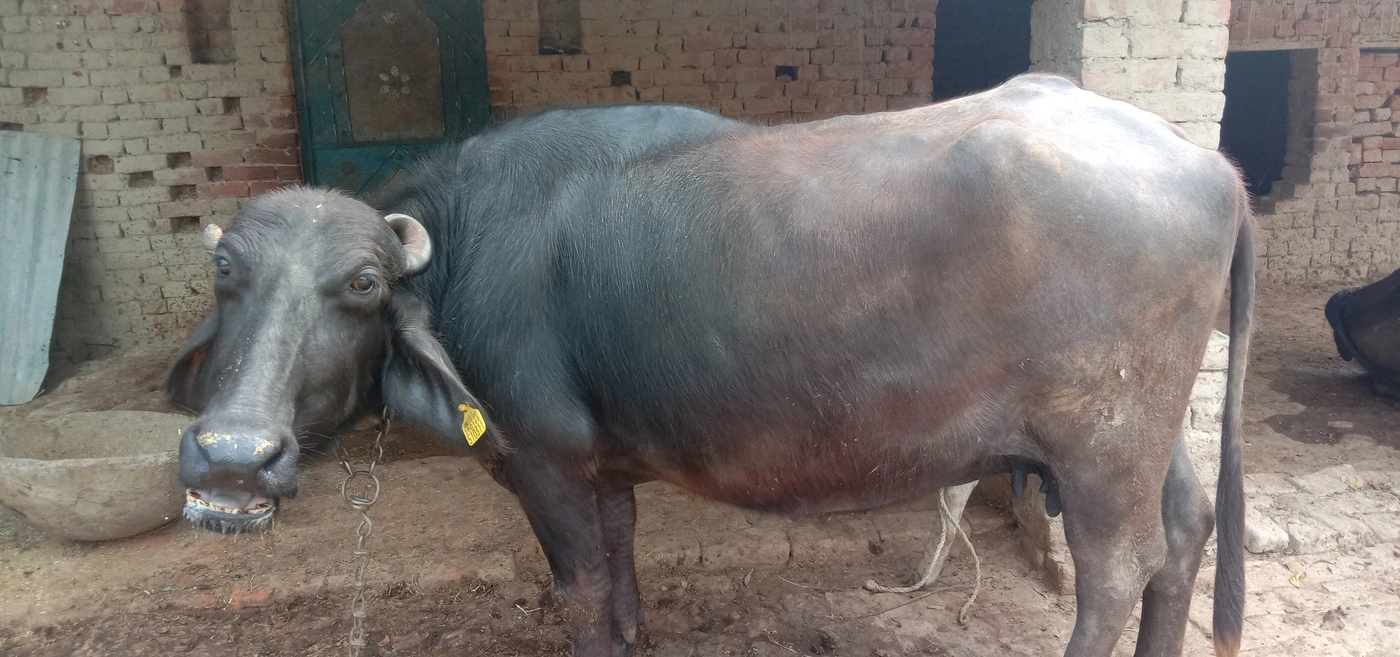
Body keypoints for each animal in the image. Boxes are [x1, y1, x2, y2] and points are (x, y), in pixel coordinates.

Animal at [167, 74, 1254, 657]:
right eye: (225, 273)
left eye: (359, 283)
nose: (234, 456)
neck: (475, 244)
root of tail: (1208, 164)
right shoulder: (601, 468)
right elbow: (620, 565)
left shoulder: (544, 463)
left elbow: (580, 588)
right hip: (1145, 431)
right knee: (1184, 532)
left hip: (1102, 447)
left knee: (1118, 567)